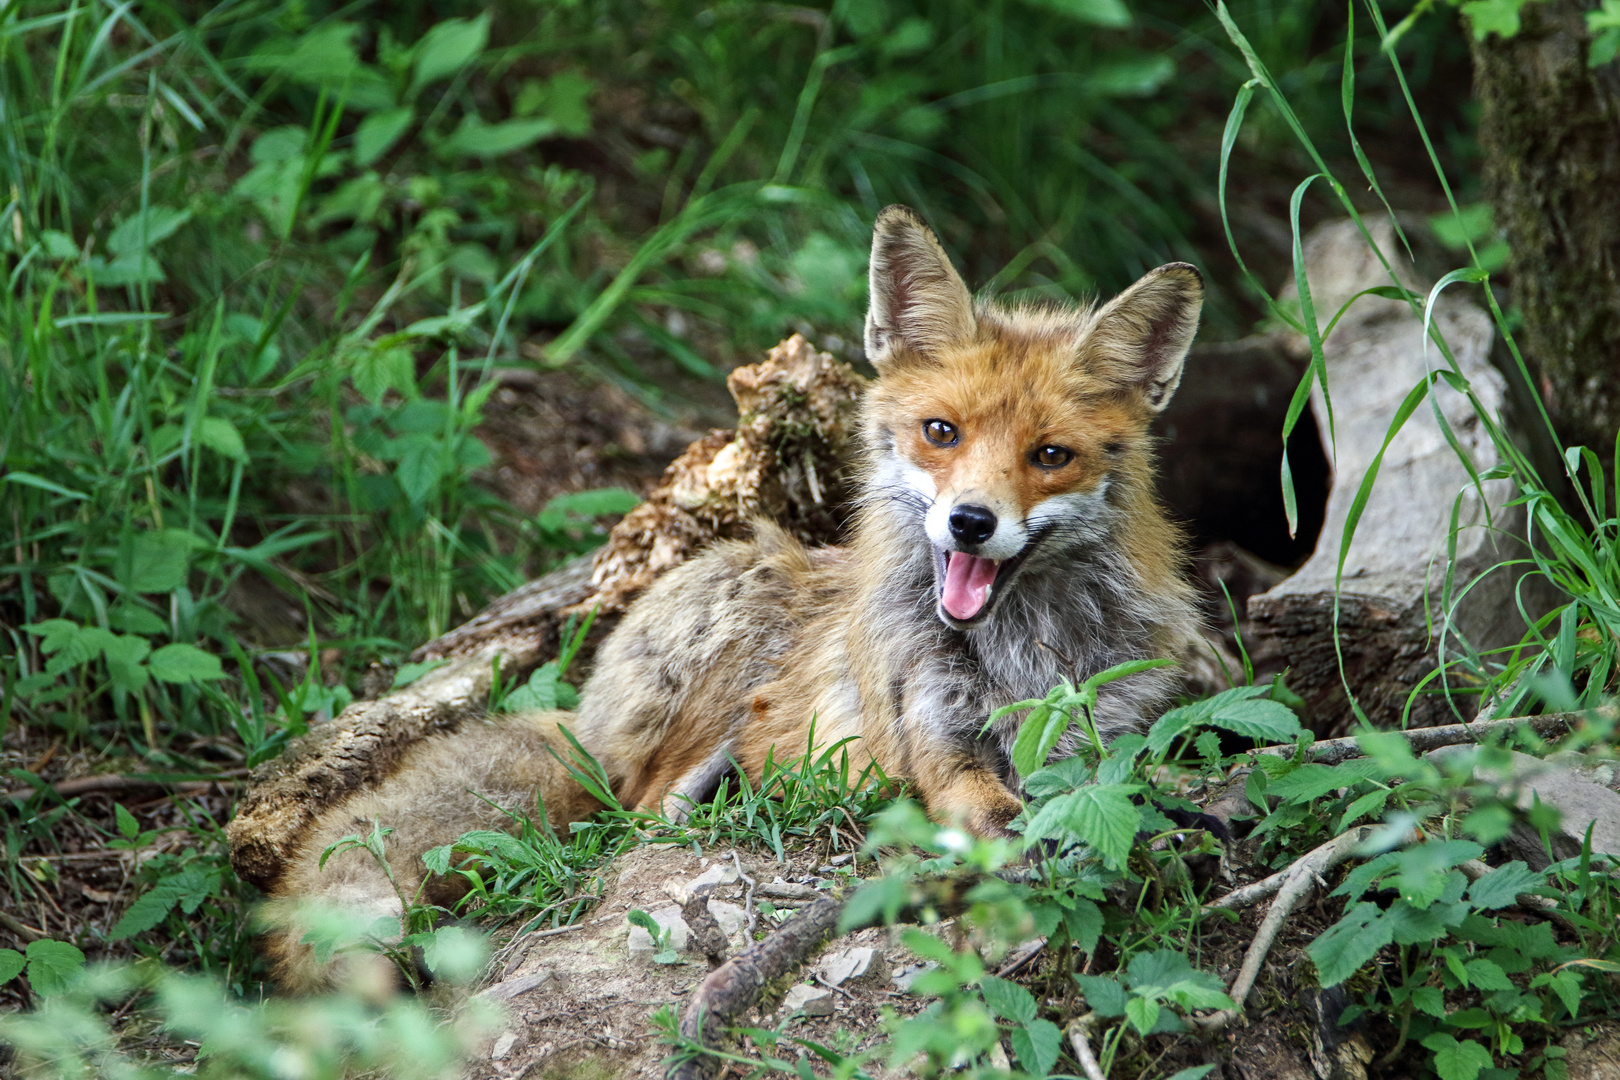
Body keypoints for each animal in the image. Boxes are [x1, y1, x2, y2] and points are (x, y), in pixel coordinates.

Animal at [265, 207, 1205, 990]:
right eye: (942, 433)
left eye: (1050, 455)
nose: (970, 523)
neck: (1024, 652)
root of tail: (588, 708)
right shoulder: (939, 746)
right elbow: (999, 815)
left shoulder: (1105, 734)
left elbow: (1108, 789)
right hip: (722, 671)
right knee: (640, 812)